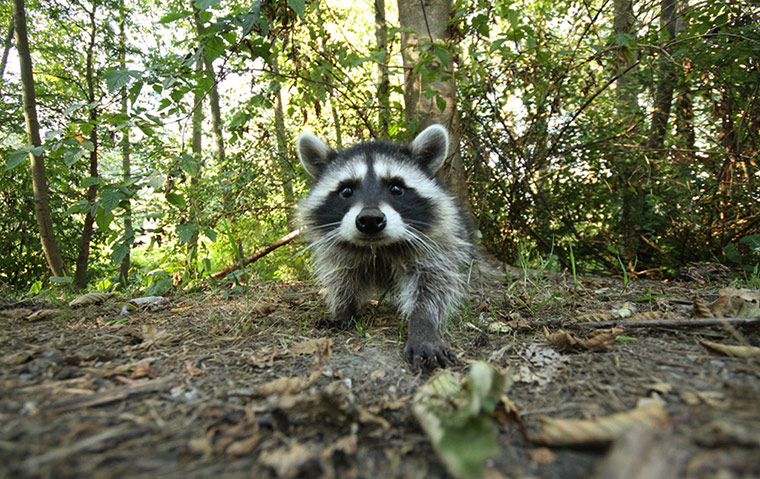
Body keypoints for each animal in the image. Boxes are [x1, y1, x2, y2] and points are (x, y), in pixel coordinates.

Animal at [296, 124, 478, 372]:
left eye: (396, 188)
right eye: (346, 191)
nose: (370, 220)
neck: (378, 247)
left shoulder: (436, 244)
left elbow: (433, 284)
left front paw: (423, 324)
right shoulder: (338, 251)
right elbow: (342, 278)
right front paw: (344, 310)